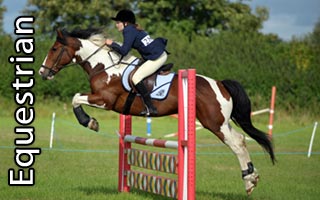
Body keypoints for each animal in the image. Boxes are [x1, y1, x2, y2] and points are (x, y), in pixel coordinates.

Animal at [39, 27, 276, 195]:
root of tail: (220, 84)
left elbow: (75, 98)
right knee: (242, 139)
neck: (104, 66)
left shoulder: (105, 101)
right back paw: (252, 178)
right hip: (220, 122)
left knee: (236, 143)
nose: (43, 72)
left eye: (54, 49)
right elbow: (76, 97)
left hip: (213, 122)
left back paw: (249, 182)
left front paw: (90, 122)